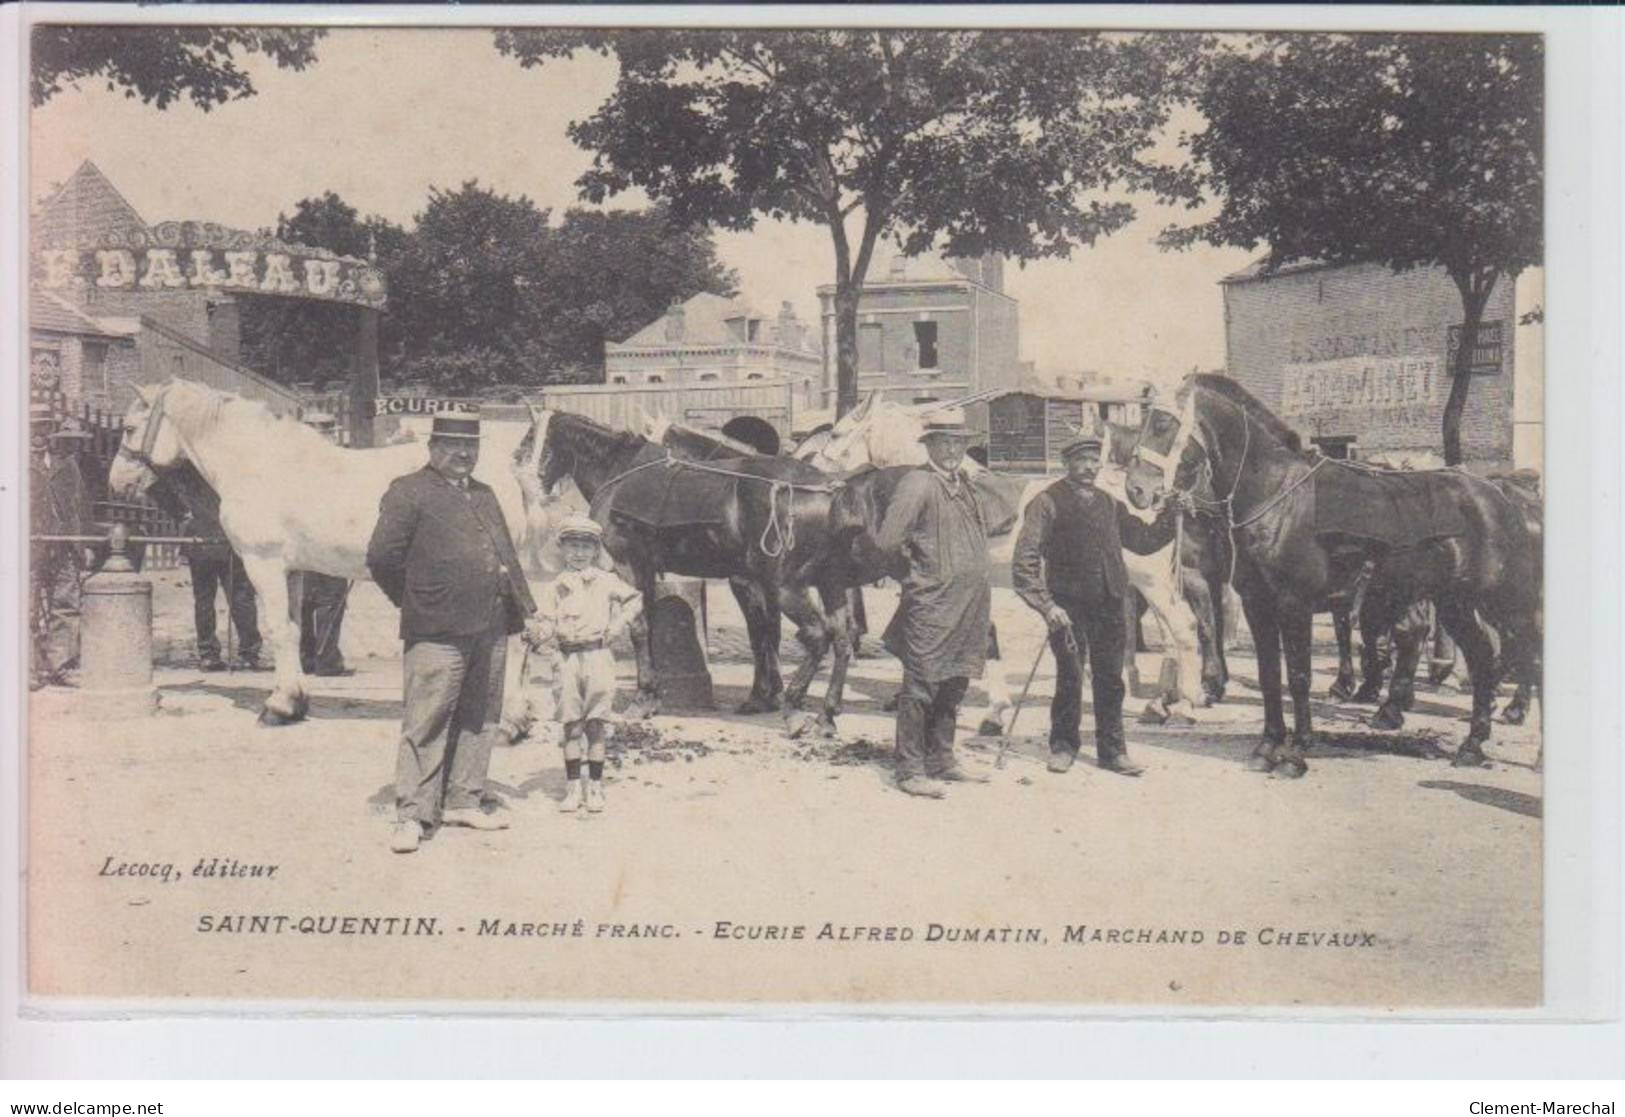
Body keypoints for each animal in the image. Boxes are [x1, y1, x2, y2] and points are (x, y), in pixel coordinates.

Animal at [108, 380, 542, 721]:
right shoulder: (291, 570)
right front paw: (297, 699)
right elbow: (294, 628)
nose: (116, 481)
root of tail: (509, 469)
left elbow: (277, 630)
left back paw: (508, 720)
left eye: (129, 428)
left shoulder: (263, 564)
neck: (257, 462)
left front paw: (280, 705)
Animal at [799, 398, 1209, 728]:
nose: (813, 471)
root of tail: (1150, 500)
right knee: (1172, 637)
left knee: (1185, 629)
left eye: (836, 434)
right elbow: (983, 637)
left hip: (1152, 584)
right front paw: (992, 710)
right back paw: (1160, 704)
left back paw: (1185, 706)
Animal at [1124, 375, 1540, 777]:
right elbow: (1269, 674)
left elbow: (1298, 676)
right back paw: (1472, 744)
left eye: (1162, 423)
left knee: (1529, 655)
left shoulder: (1294, 604)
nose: (1136, 489)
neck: (1276, 496)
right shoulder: (1258, 604)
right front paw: (1266, 747)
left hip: (1509, 603)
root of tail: (1502, 496)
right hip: (1455, 602)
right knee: (1483, 657)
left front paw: (1294, 754)